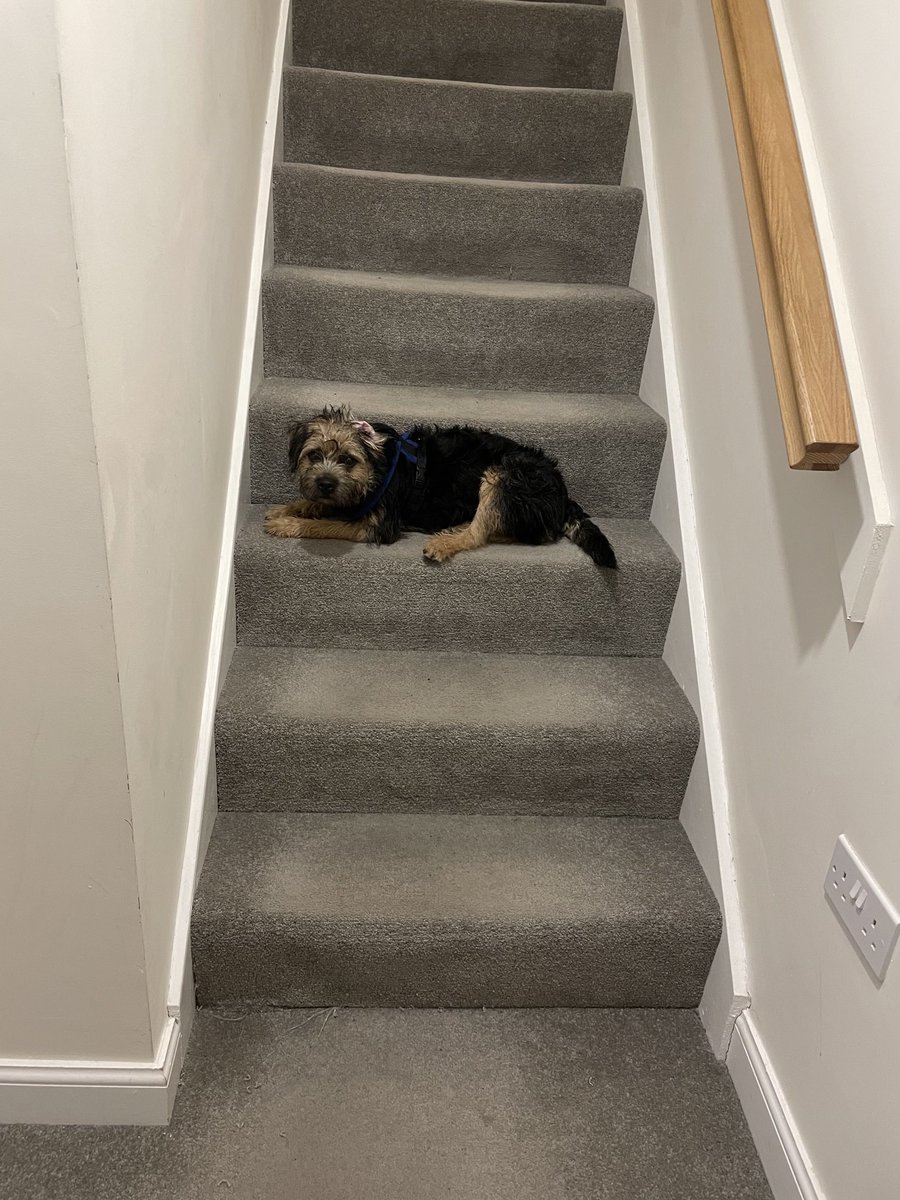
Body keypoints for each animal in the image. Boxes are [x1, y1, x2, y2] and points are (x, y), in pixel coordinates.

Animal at [266, 405, 619, 568]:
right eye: (313, 455)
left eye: (348, 460)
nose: (325, 483)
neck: (377, 467)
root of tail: (564, 494)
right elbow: (323, 506)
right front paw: (290, 508)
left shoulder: (378, 525)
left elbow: (326, 524)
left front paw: (288, 524)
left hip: (504, 472)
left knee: (484, 531)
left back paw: (445, 542)